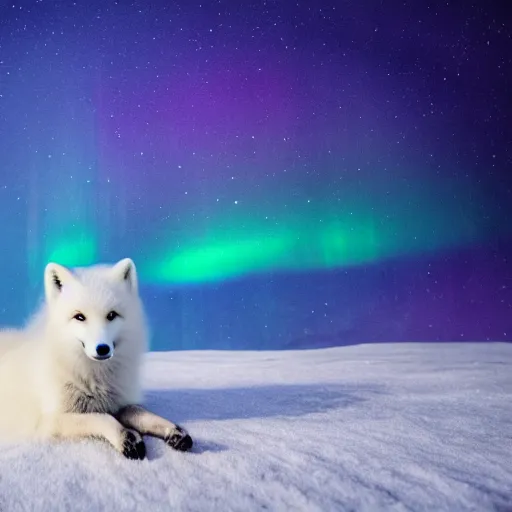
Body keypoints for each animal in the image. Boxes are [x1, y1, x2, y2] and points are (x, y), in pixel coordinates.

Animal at [0, 258, 192, 462]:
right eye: (79, 317)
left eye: (111, 315)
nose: (102, 348)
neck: (93, 379)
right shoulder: (50, 422)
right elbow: (101, 418)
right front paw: (128, 438)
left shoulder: (117, 402)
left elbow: (138, 412)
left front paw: (173, 430)